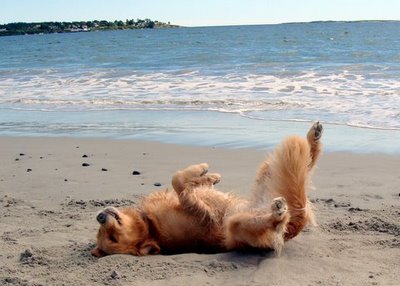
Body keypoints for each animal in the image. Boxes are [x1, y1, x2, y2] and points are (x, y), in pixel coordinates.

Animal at [90, 121, 322, 256]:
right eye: (112, 239)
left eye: (107, 235)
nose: (100, 217)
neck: (149, 225)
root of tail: (295, 219)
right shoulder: (206, 216)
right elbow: (179, 183)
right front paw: (201, 171)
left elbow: (184, 181)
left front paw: (209, 176)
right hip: (238, 226)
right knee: (271, 222)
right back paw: (278, 212)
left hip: (267, 176)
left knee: (309, 161)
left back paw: (314, 137)